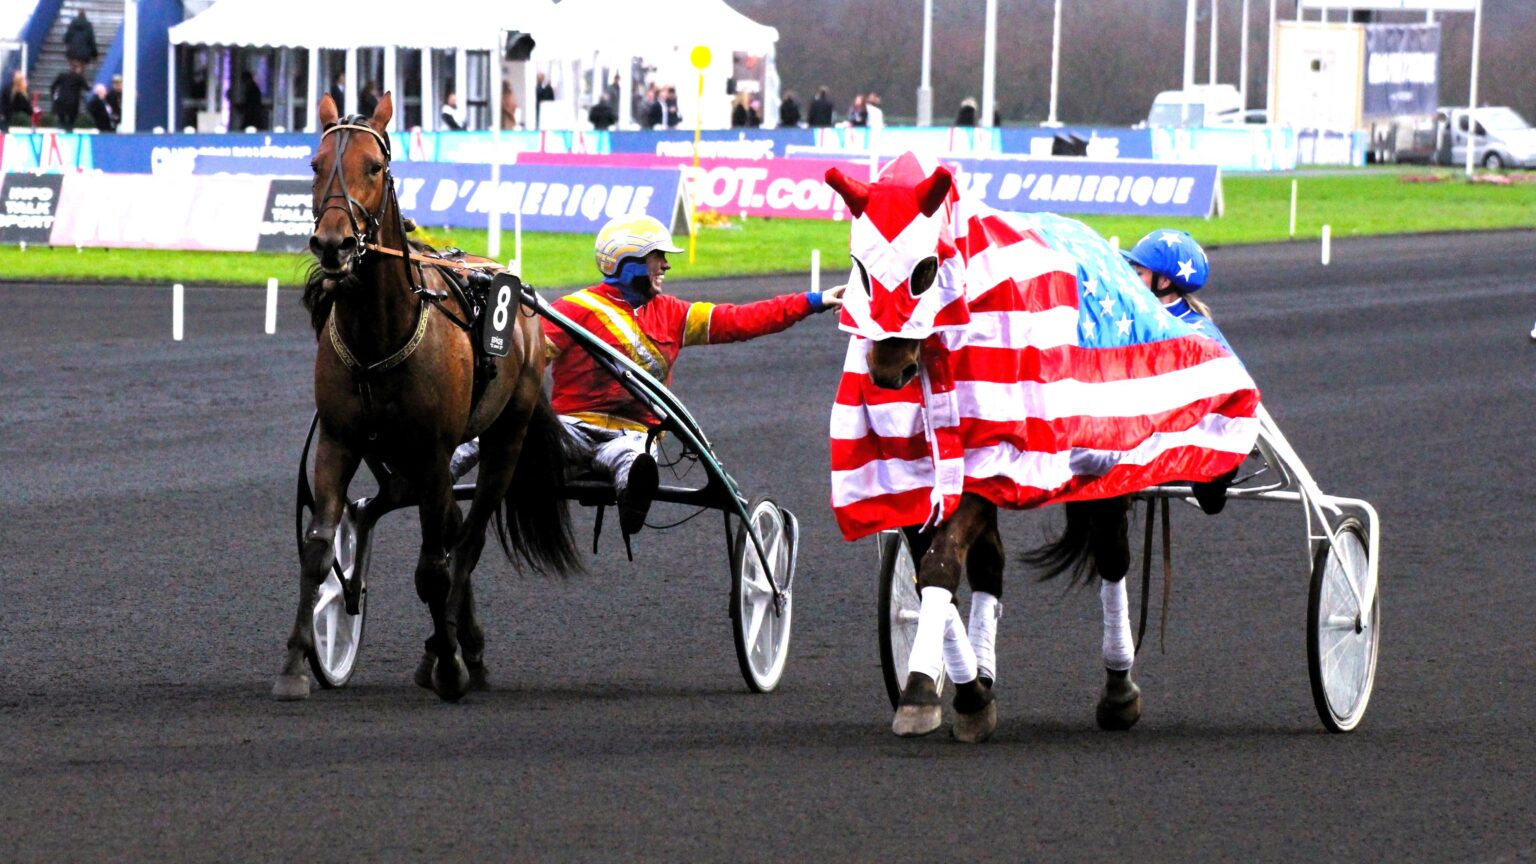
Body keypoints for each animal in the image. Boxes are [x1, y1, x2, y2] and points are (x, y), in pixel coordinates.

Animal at [270, 92, 577, 701]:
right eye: (315, 164)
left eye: (374, 166)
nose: (334, 245)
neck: (381, 331)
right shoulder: (340, 440)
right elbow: (318, 548)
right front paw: (297, 663)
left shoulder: (434, 451)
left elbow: (434, 567)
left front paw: (449, 665)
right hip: (398, 457)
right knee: (438, 524)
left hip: (505, 434)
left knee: (468, 537)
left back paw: (455, 651)